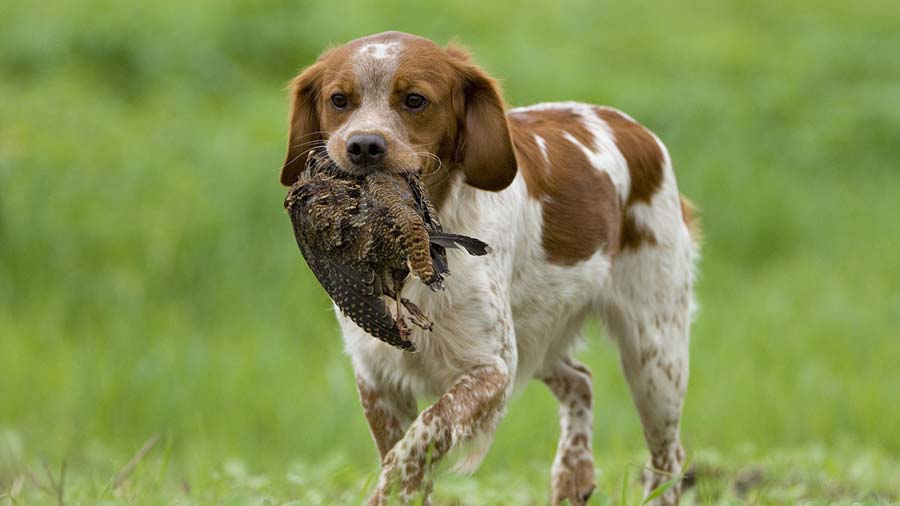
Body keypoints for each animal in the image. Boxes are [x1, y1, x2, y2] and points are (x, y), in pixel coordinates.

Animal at [278, 31, 700, 506]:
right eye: (339, 99)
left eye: (415, 100)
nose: (364, 145)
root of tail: (635, 129)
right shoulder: (378, 378)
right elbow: (403, 454)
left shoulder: (491, 368)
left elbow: (422, 436)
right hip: (540, 332)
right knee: (581, 379)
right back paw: (572, 472)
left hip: (655, 356)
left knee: (666, 457)